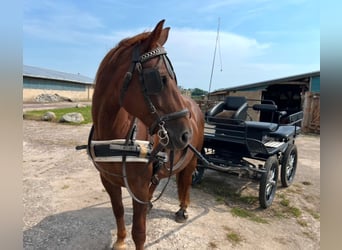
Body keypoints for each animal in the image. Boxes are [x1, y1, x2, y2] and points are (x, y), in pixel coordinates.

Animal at [89, 20, 204, 250]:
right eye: (161, 79)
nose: (185, 134)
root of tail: (196, 107)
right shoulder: (108, 181)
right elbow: (118, 211)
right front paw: (120, 241)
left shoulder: (139, 186)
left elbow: (139, 232)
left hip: (191, 159)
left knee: (186, 181)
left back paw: (182, 209)